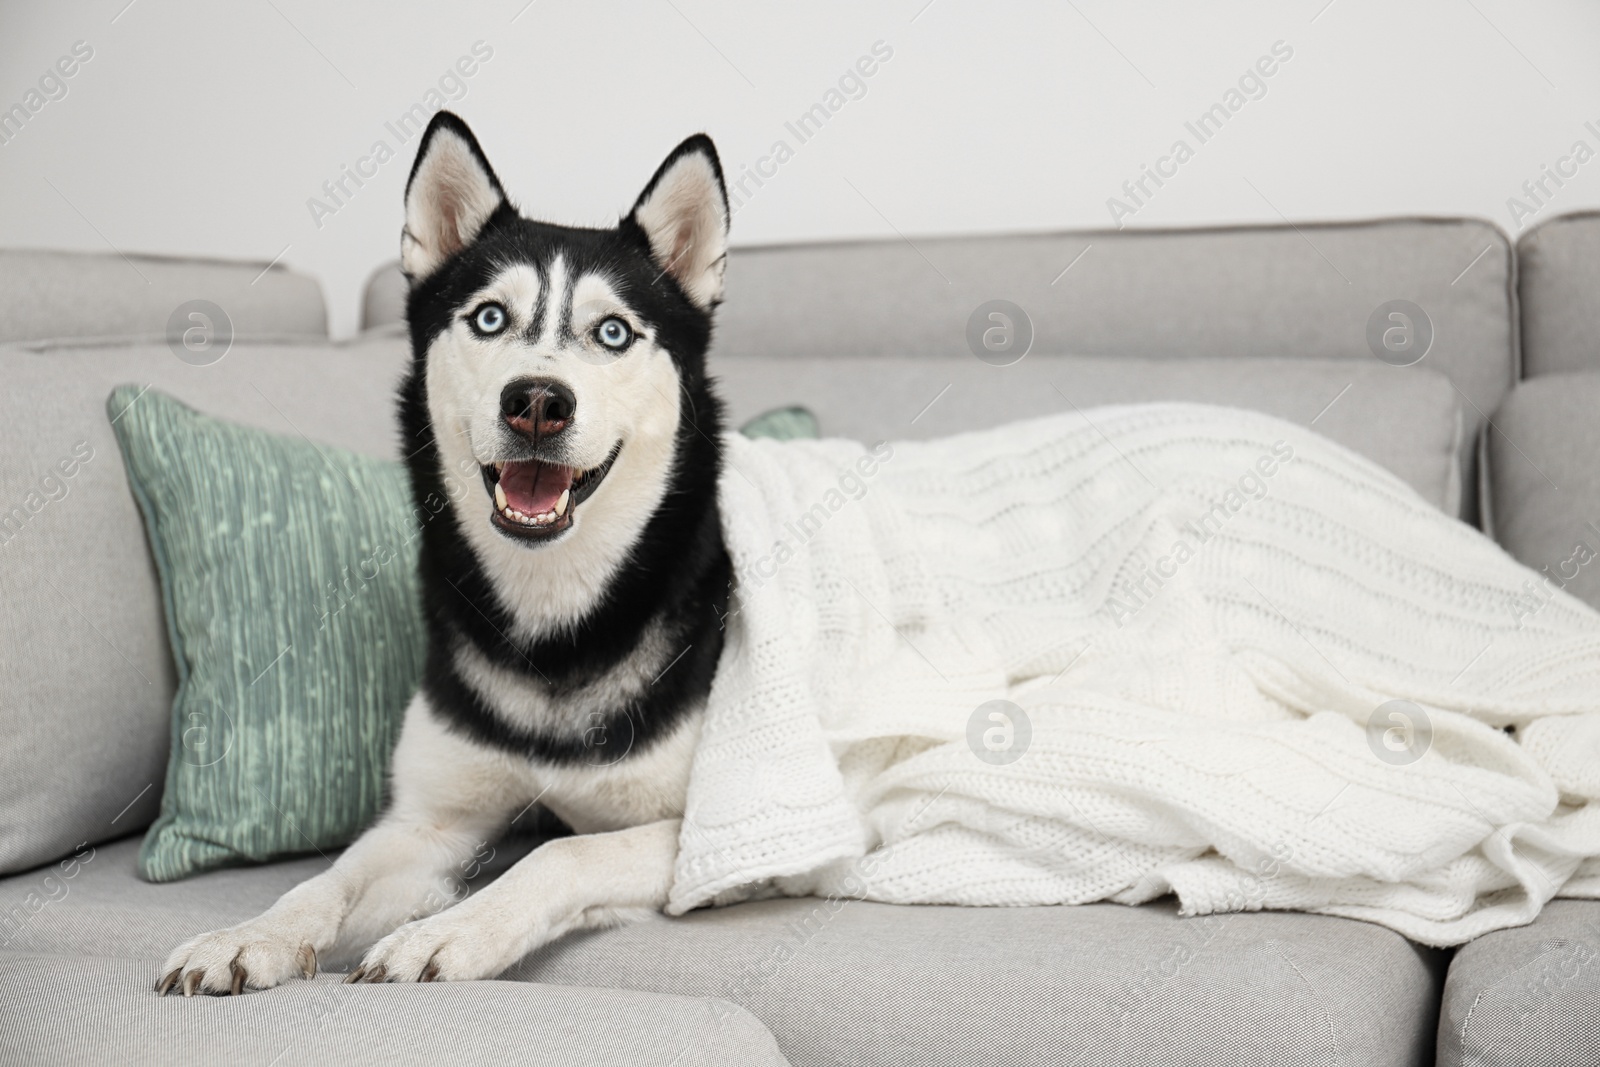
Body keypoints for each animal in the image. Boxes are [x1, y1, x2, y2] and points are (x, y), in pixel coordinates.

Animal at [156, 108, 732, 991]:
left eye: (612, 332)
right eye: (490, 317)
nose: (538, 400)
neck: (551, 619)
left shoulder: (708, 840)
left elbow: (558, 854)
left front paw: (446, 934)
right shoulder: (429, 822)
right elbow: (325, 879)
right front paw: (247, 934)